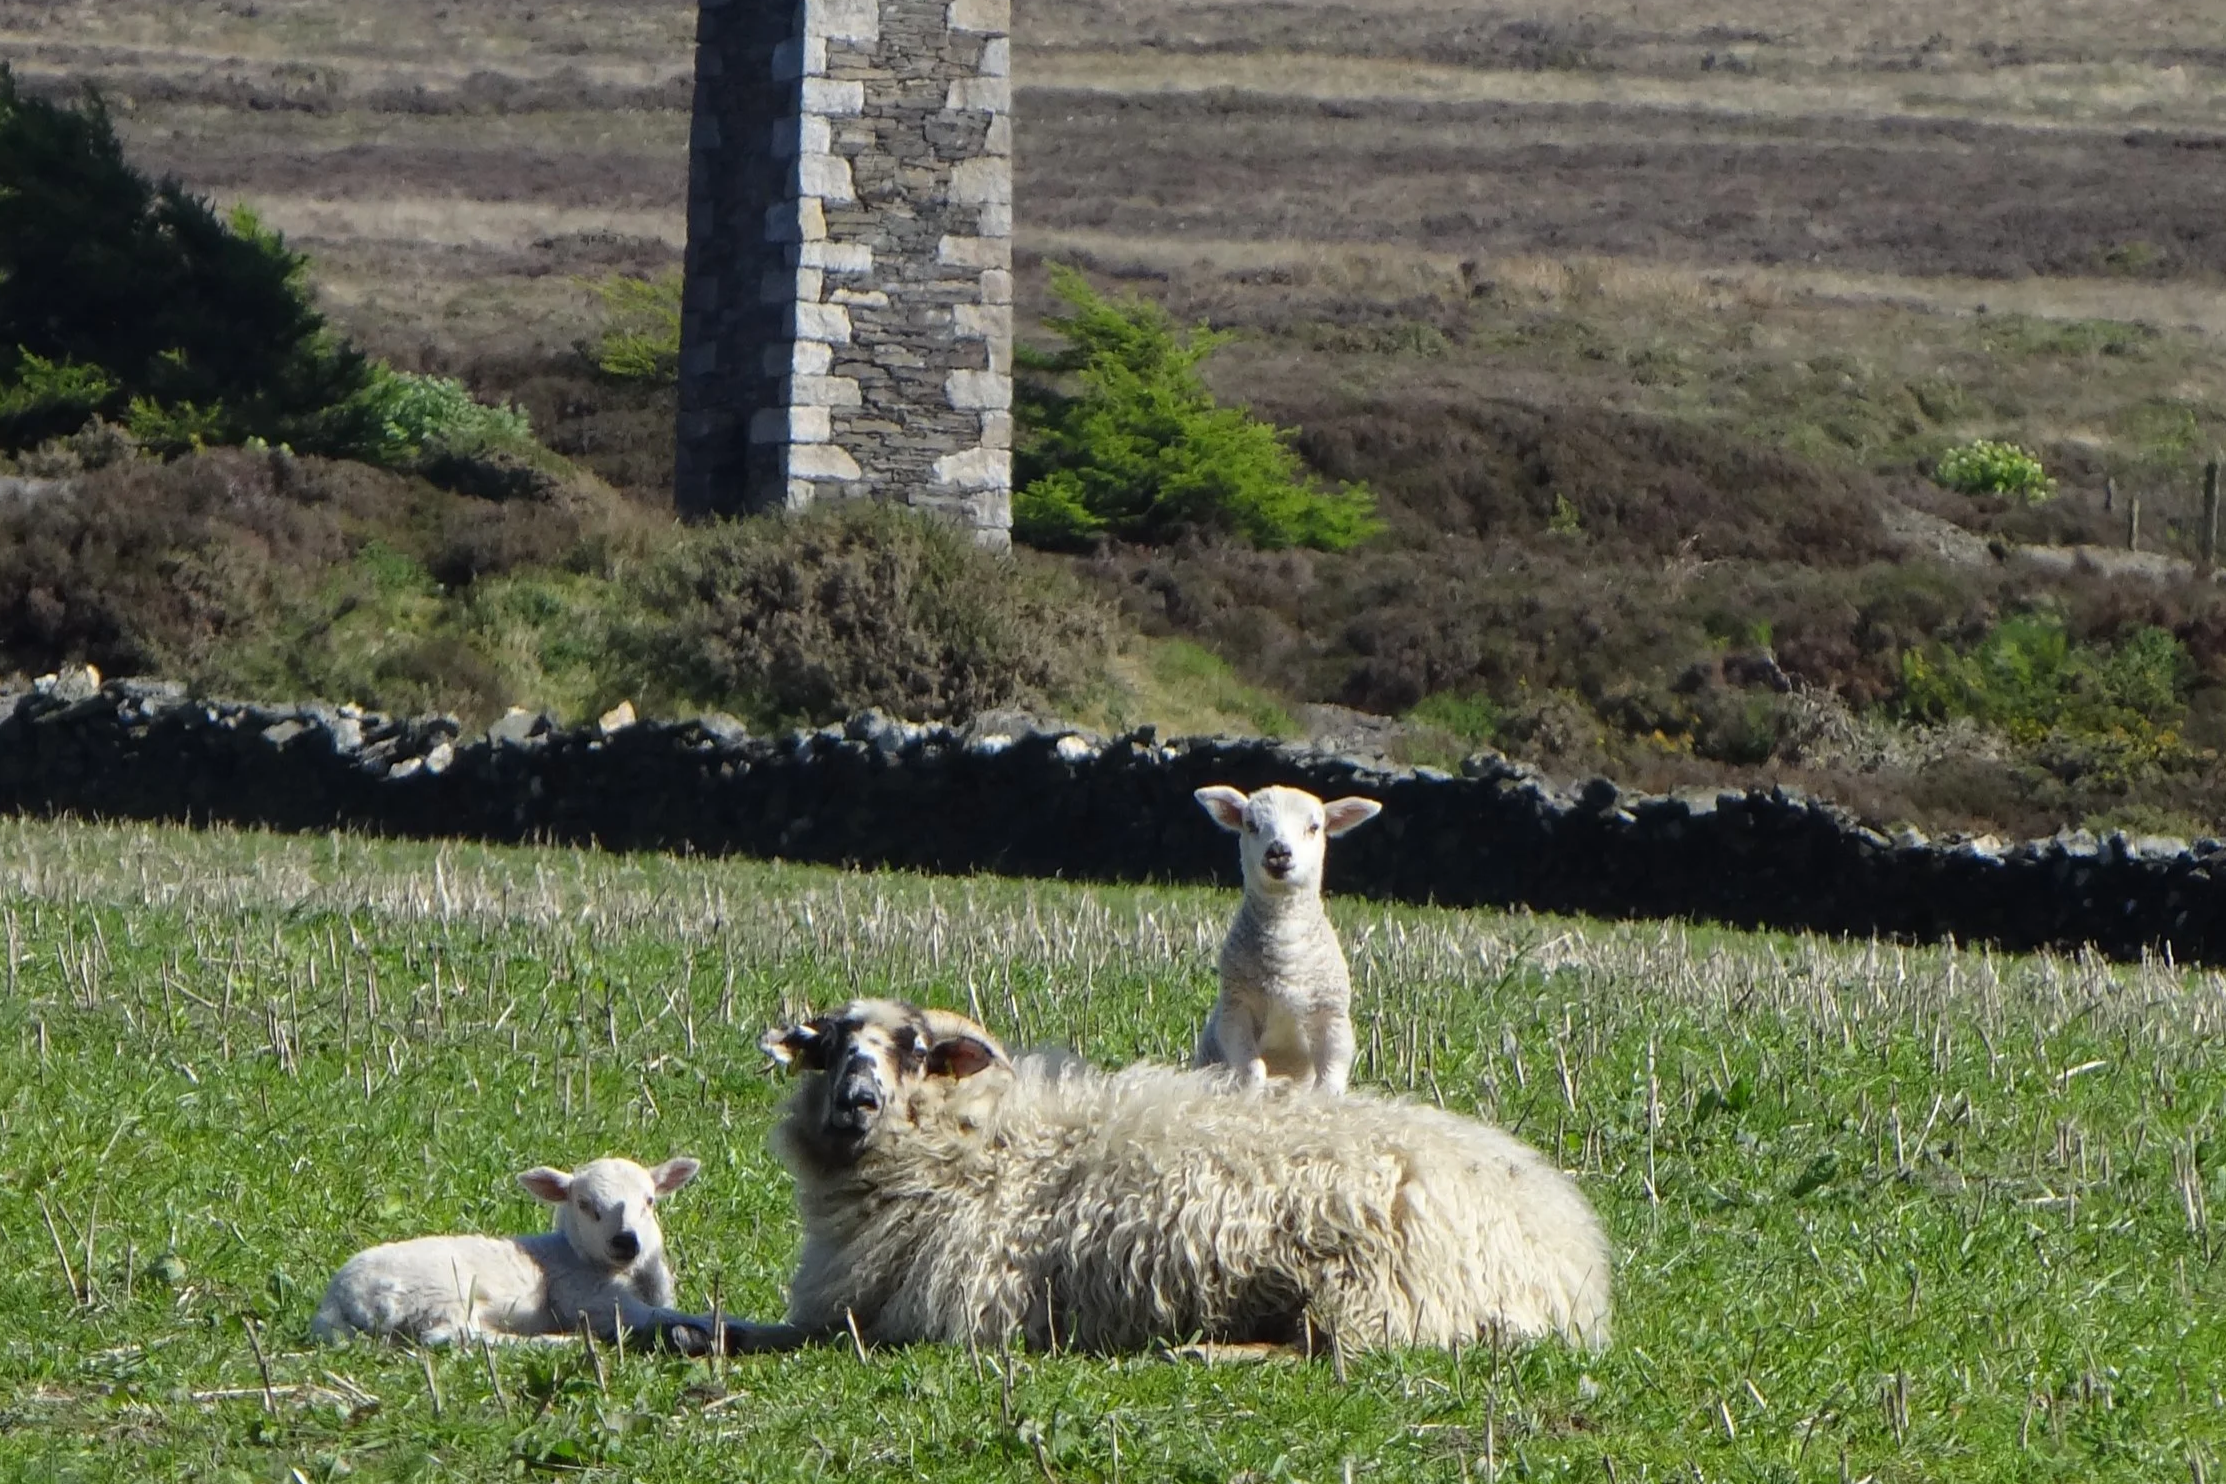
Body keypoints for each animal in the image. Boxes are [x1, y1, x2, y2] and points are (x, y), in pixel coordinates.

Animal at [311, 1156, 708, 1348]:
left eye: (650, 1201)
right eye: (585, 1205)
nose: (626, 1240)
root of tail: (337, 1300)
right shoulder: (585, 1298)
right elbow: (659, 1315)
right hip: (439, 1294)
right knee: (448, 1335)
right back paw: (555, 1343)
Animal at [746, 998, 1611, 1355]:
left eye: (918, 1051)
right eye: (829, 1048)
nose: (856, 1103)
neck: (986, 1147)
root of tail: (1572, 1264)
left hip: (1372, 1288)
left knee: (1330, 1353)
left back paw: (1201, 1352)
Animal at [1193, 784, 1383, 1092]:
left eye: (1314, 827)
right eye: (1251, 824)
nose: (1278, 851)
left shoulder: (1334, 1017)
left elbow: (1330, 1077)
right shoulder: (1235, 1011)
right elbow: (1252, 1069)